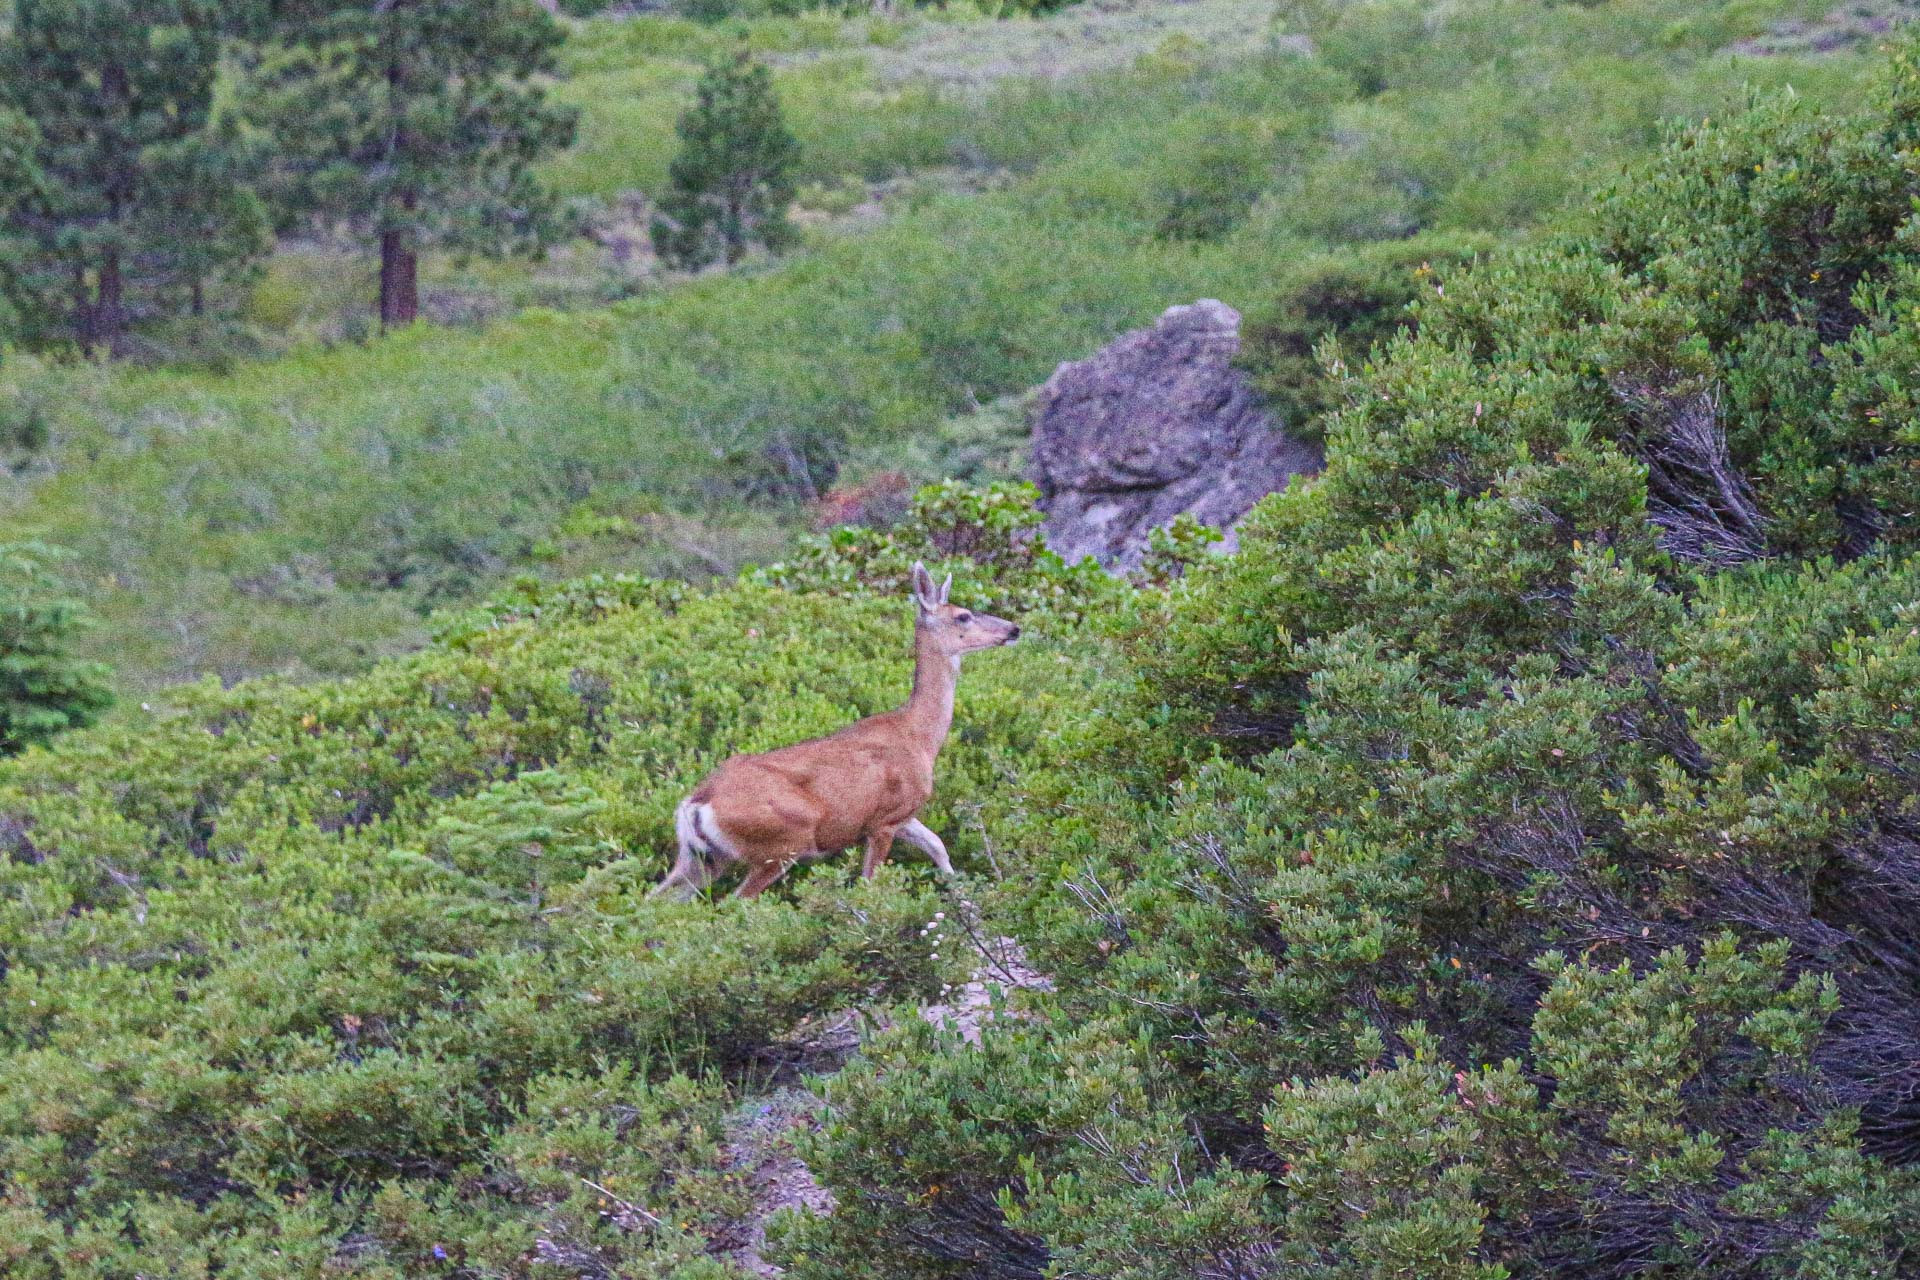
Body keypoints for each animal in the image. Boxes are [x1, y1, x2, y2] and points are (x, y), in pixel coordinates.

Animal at [652, 564, 1021, 905]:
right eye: (963, 616)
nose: (1014, 629)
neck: (919, 736)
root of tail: (697, 802)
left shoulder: (902, 815)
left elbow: (938, 845)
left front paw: (967, 902)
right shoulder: (884, 819)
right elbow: (870, 883)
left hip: (701, 858)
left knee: (657, 899)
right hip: (782, 843)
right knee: (734, 901)